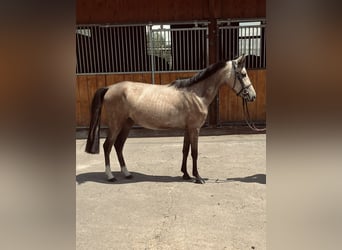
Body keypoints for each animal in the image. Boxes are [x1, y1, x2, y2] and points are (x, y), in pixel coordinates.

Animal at [85, 54, 256, 184]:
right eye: (243, 74)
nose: (252, 96)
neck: (195, 94)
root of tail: (109, 88)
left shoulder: (188, 129)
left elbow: (185, 150)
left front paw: (185, 174)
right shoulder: (195, 129)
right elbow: (194, 152)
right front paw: (198, 177)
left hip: (127, 123)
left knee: (118, 146)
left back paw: (127, 173)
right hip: (116, 124)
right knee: (107, 146)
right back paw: (110, 176)